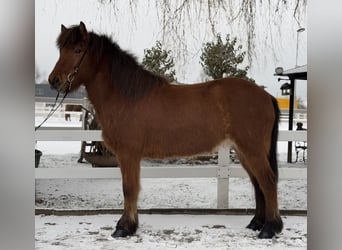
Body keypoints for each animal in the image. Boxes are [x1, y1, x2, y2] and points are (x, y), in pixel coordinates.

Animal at [48, 22, 284, 239]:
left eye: (78, 50)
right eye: (61, 50)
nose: (54, 80)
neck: (126, 97)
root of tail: (266, 96)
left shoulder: (128, 154)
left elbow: (129, 188)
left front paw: (124, 227)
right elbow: (132, 188)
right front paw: (130, 225)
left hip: (252, 150)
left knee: (268, 182)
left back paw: (270, 228)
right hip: (244, 151)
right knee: (258, 184)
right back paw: (257, 223)